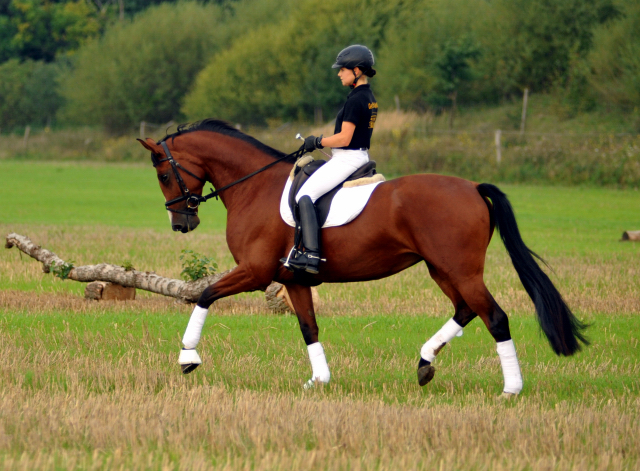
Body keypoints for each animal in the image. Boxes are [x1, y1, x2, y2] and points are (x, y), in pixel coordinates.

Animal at [138, 120, 588, 396]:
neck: (255, 187)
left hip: (459, 269)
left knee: (494, 316)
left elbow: (204, 295)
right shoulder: (294, 279)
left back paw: (510, 389)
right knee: (465, 309)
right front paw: (319, 380)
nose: (182, 223)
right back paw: (424, 363)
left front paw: (187, 357)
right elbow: (308, 327)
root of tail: (473, 187)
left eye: (163, 174)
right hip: (442, 269)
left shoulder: (255, 271)